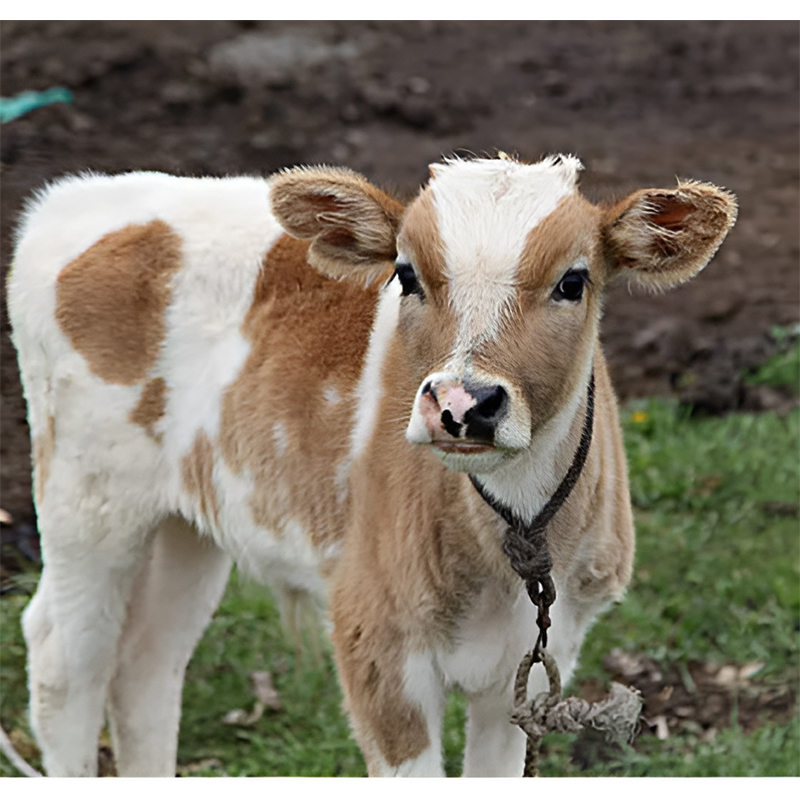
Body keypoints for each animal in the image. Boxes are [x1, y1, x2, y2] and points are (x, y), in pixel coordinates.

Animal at [7, 154, 737, 777]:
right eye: (406, 274)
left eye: (573, 281)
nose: (463, 403)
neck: (513, 536)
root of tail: (80, 196)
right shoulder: (376, 640)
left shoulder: (533, 663)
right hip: (88, 495)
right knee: (63, 661)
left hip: (186, 520)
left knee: (145, 665)